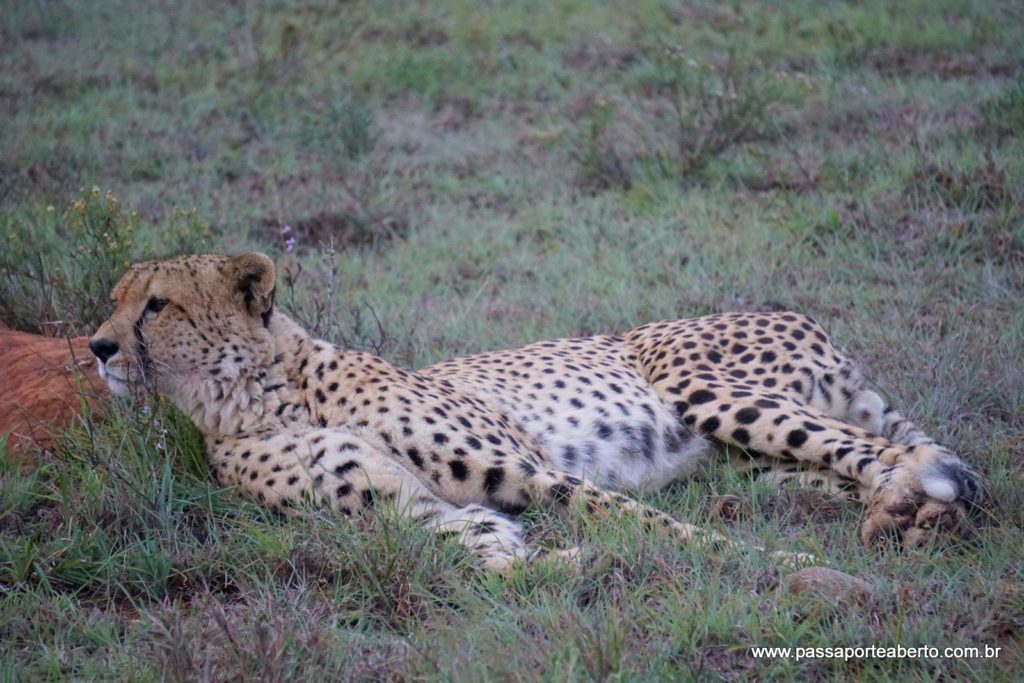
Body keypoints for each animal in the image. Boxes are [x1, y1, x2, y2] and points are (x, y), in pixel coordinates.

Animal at [88, 252, 984, 571]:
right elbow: (485, 553)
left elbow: (644, 519)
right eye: (115, 297)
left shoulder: (529, 466)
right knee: (823, 469)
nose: (96, 346)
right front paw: (566, 567)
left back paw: (910, 500)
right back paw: (895, 515)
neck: (259, 391)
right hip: (744, 454)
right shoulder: (411, 506)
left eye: (155, 304)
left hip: (706, 388)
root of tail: (800, 316)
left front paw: (769, 564)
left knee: (875, 446)